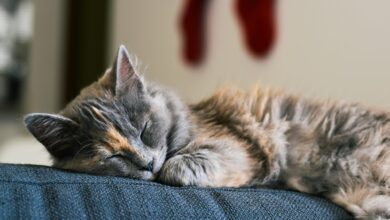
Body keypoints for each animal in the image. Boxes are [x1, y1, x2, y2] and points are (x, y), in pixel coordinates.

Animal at [25, 45, 390, 220]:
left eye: (144, 130)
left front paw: (169, 168)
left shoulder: (239, 148)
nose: (146, 164)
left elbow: (180, 164)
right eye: (113, 155)